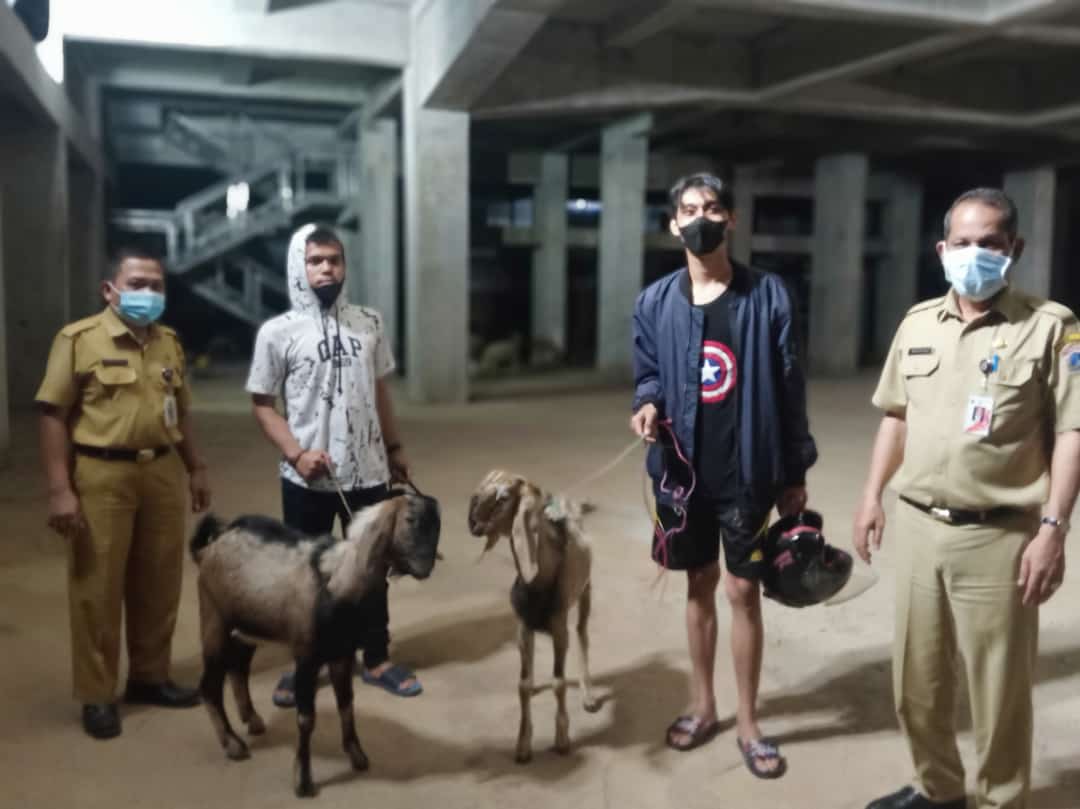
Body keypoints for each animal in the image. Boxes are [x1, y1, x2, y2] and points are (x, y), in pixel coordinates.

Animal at [189, 491, 440, 797]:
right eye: (410, 519)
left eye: (437, 525)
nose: (426, 566)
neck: (337, 581)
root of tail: (207, 549)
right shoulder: (306, 656)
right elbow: (306, 718)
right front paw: (303, 780)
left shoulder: (341, 653)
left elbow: (346, 703)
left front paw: (357, 755)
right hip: (215, 621)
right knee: (209, 685)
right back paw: (232, 743)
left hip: (247, 629)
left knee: (239, 668)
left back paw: (252, 719)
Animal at [467, 470, 599, 763]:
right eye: (482, 487)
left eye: (504, 497)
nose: (473, 524)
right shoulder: (523, 627)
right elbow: (523, 684)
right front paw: (523, 745)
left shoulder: (559, 629)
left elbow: (559, 683)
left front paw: (562, 740)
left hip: (586, 591)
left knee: (583, 633)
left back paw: (588, 695)